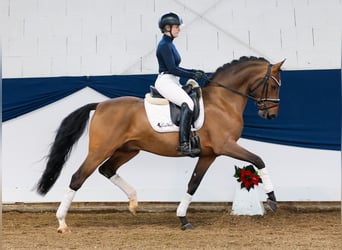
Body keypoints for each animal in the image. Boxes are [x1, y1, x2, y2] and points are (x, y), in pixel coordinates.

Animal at [36, 56, 284, 232]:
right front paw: (272, 200)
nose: (271, 115)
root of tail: (100, 105)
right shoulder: (226, 146)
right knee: (78, 177)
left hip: (128, 149)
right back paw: (62, 223)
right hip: (101, 149)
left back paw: (134, 202)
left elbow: (193, 184)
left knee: (107, 169)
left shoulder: (209, 154)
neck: (223, 102)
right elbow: (259, 160)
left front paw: (183, 219)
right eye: (273, 86)